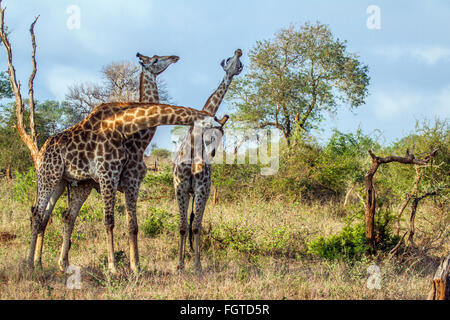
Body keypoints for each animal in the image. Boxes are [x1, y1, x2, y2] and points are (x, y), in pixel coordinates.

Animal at [27, 101, 229, 274]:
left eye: (222, 138)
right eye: (211, 136)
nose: (211, 156)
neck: (123, 127)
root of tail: (42, 149)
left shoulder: (124, 180)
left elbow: (132, 224)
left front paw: (136, 267)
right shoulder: (108, 173)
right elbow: (109, 221)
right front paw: (113, 267)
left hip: (68, 182)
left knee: (63, 216)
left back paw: (56, 264)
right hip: (48, 174)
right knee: (37, 214)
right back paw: (29, 264)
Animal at [173, 48, 243, 274]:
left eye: (239, 66)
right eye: (229, 61)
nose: (238, 51)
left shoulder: (203, 189)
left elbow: (196, 226)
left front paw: (197, 264)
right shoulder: (180, 188)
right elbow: (182, 226)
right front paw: (179, 264)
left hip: (199, 192)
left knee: (195, 222)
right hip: (188, 192)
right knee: (187, 222)